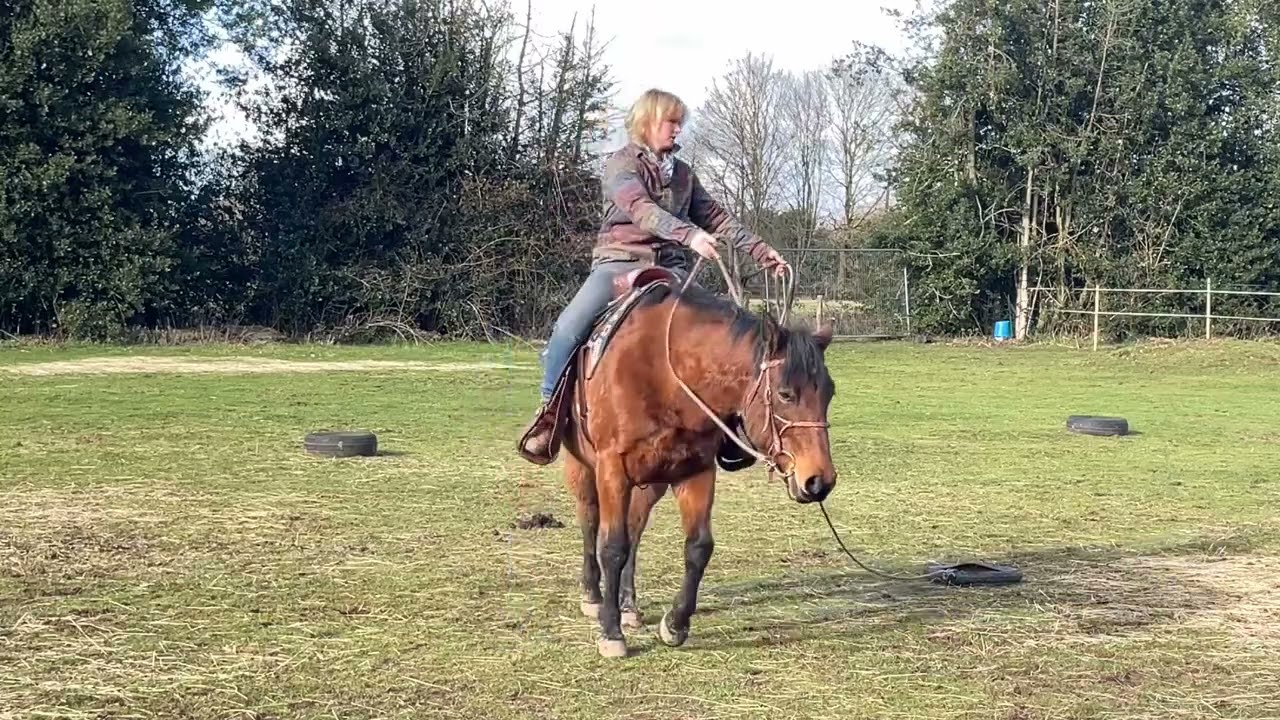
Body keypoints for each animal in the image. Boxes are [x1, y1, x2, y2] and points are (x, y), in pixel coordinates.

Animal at [531, 260, 839, 658]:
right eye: (786, 393)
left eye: (829, 392)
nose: (819, 480)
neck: (665, 374)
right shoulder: (612, 469)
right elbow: (611, 546)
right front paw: (611, 632)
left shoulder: (696, 471)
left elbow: (698, 547)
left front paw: (675, 624)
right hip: (583, 468)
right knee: (590, 521)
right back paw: (594, 597)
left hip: (652, 481)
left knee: (635, 529)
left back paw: (629, 606)